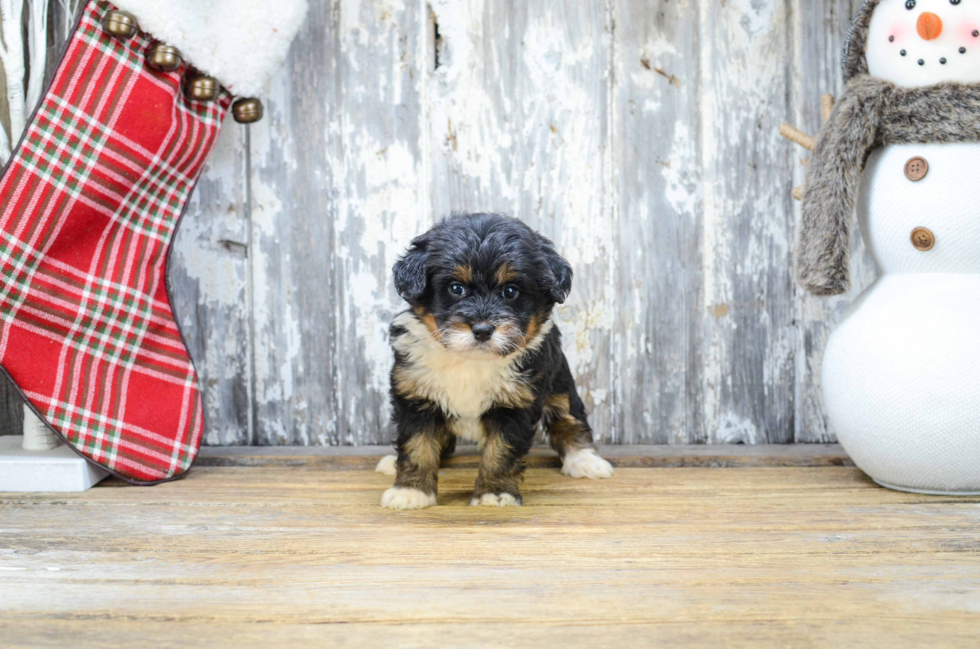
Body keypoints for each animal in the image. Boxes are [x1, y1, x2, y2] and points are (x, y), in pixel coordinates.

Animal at [378, 211, 612, 506]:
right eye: (456, 288)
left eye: (510, 291)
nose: (482, 330)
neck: (472, 360)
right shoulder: (415, 395)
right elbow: (416, 445)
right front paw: (411, 491)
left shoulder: (517, 403)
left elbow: (501, 451)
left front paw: (495, 493)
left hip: (560, 381)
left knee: (568, 417)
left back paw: (585, 460)